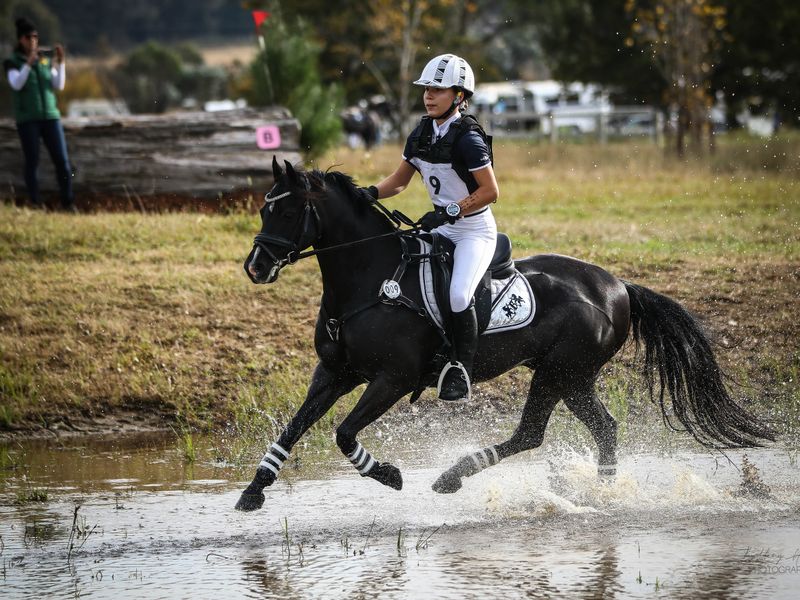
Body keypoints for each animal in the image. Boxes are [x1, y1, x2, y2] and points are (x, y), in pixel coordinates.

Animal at [235, 158, 773, 512]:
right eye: (263, 210)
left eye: (287, 212)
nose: (256, 267)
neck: (369, 278)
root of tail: (618, 286)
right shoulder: (334, 372)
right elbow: (294, 427)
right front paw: (254, 490)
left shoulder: (390, 379)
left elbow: (343, 433)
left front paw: (388, 475)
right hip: (571, 376)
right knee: (601, 428)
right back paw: (602, 493)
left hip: (560, 370)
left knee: (532, 433)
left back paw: (453, 477)